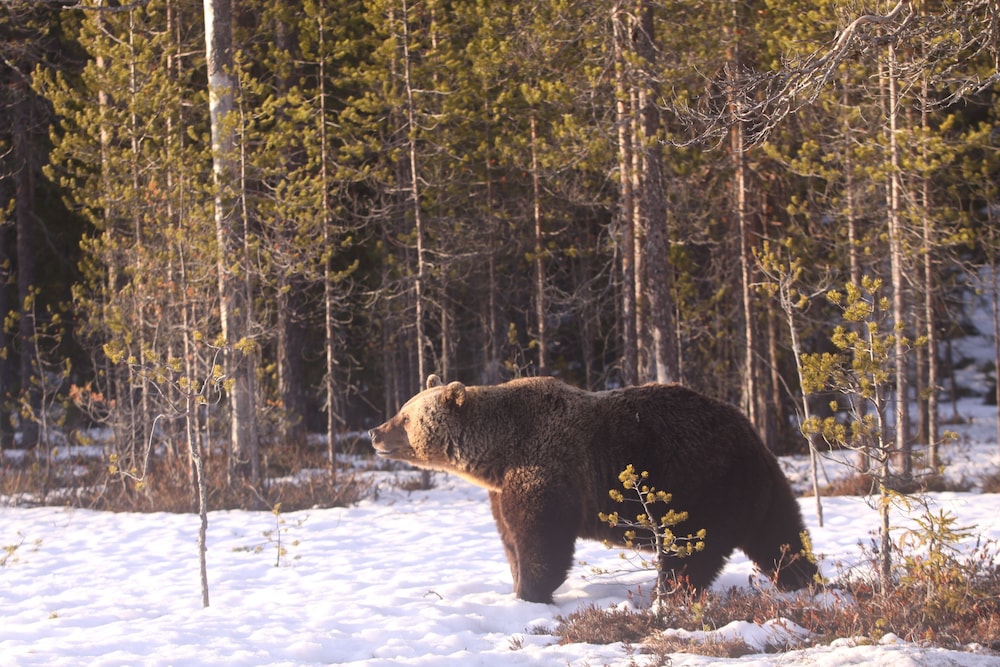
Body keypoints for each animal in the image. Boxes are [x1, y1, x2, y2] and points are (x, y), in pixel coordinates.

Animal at [369, 374, 817, 603]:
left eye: (406, 416)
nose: (374, 432)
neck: (498, 452)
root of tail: (749, 433)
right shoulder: (502, 488)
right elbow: (510, 539)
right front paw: (516, 583)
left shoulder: (548, 469)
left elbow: (542, 540)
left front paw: (531, 593)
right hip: (755, 488)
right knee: (781, 534)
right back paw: (803, 581)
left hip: (699, 485)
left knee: (688, 553)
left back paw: (667, 595)